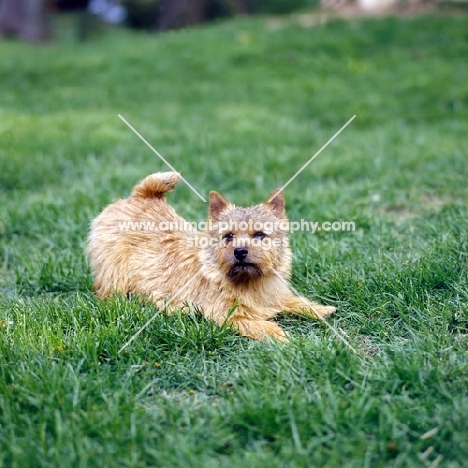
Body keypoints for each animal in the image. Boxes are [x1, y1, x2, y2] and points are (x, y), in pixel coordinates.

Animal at [87, 172, 336, 340]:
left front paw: (321, 309)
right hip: (115, 273)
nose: (240, 251)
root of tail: (140, 197)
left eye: (259, 235)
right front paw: (280, 335)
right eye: (228, 236)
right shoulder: (228, 315)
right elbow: (258, 324)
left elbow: (295, 301)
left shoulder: (275, 296)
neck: (249, 283)